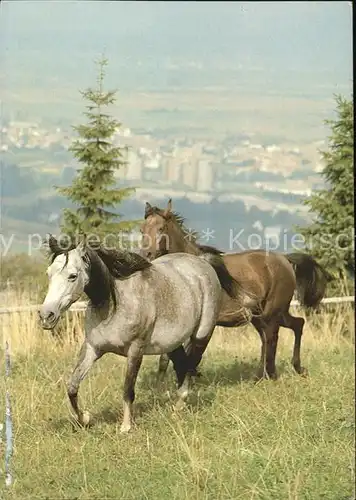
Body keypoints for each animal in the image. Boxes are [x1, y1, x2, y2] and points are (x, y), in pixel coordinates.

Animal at [39, 236, 241, 432]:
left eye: (72, 276)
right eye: (48, 273)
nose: (46, 315)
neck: (114, 304)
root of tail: (202, 262)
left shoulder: (135, 350)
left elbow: (128, 389)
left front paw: (126, 426)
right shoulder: (92, 348)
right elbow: (72, 387)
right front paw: (85, 419)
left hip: (201, 335)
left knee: (190, 367)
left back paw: (178, 407)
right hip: (172, 344)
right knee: (182, 366)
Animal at [139, 197, 330, 380]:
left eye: (161, 228)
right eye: (142, 230)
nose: (146, 254)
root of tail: (285, 260)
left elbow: (193, 355)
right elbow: (167, 357)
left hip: (272, 313)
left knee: (272, 337)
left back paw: (270, 374)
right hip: (264, 315)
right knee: (290, 327)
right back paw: (281, 372)